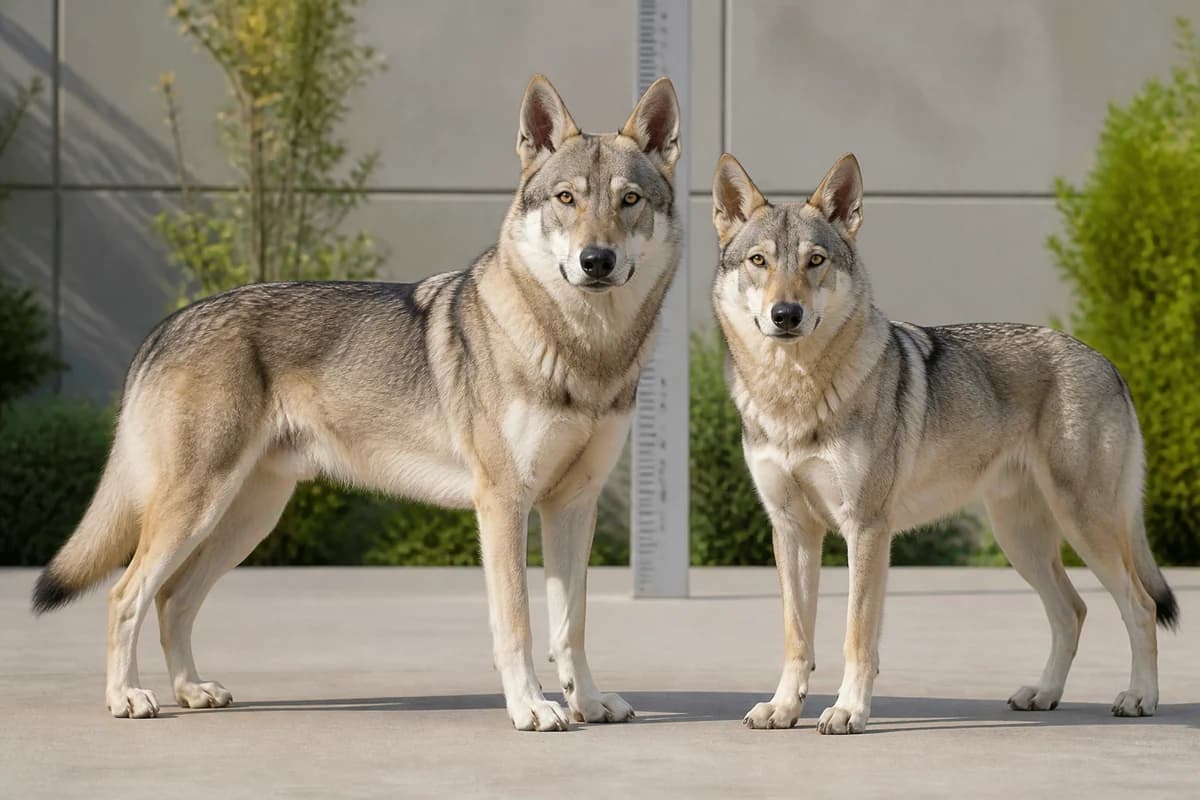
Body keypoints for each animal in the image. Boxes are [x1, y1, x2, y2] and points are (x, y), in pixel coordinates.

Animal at [32, 74, 682, 732]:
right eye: (566, 199)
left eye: (629, 200)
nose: (595, 261)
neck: (585, 351)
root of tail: (166, 325)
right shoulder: (503, 503)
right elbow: (518, 625)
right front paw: (531, 706)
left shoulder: (572, 505)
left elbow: (571, 626)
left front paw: (589, 702)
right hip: (196, 509)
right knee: (126, 595)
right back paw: (126, 697)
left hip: (246, 519)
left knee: (172, 599)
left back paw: (192, 691)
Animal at [710, 151, 1178, 734]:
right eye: (759, 261)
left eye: (815, 261)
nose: (786, 315)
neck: (794, 392)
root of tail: (1108, 362)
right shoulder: (793, 529)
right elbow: (798, 637)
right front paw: (783, 707)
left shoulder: (866, 528)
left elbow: (856, 637)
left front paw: (848, 710)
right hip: (1020, 540)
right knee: (1072, 610)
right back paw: (1044, 694)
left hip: (1084, 528)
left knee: (1138, 607)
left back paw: (1140, 698)